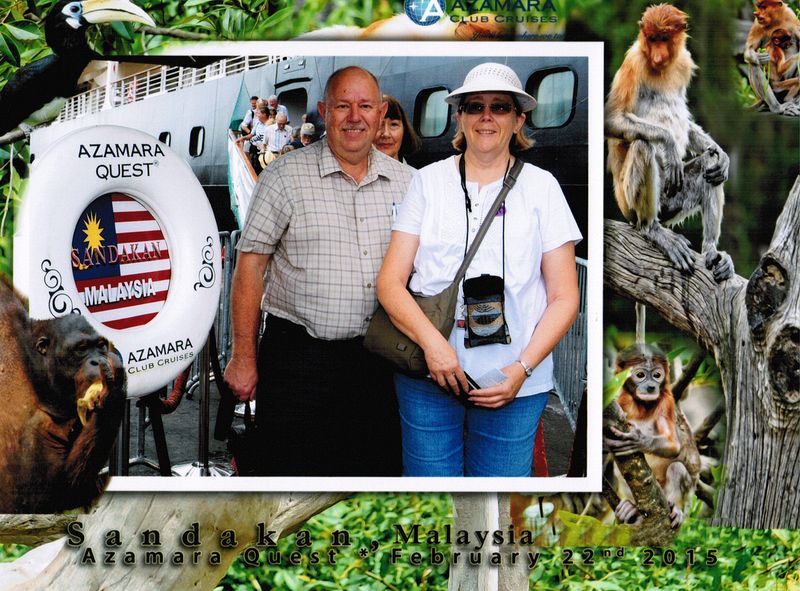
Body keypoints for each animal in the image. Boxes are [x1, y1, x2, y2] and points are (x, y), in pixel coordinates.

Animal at [608, 2, 732, 282]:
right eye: (652, 39)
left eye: (664, 39)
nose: (657, 55)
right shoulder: (633, 62)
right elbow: (612, 119)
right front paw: (669, 144)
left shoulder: (684, 62)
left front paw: (723, 156)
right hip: (632, 203)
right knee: (643, 144)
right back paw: (652, 229)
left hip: (674, 201)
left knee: (709, 168)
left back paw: (712, 252)